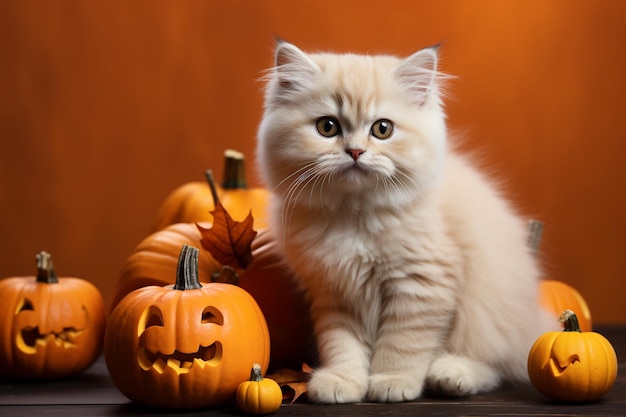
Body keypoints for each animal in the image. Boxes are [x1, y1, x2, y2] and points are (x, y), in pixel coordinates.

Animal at [254, 40, 552, 402]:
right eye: (327, 127)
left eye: (382, 129)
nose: (355, 152)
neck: (354, 217)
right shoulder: (335, 292)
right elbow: (342, 345)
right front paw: (342, 381)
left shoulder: (421, 283)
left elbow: (402, 344)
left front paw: (391, 382)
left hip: (489, 314)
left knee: (496, 363)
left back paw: (451, 374)